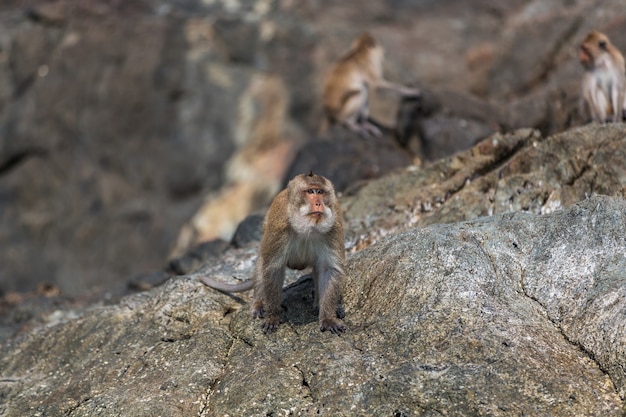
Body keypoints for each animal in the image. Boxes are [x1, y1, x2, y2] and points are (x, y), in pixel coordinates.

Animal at [200, 171, 346, 334]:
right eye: (310, 191)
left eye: (320, 192)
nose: (319, 203)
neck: (308, 227)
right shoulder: (279, 228)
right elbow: (273, 269)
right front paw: (273, 316)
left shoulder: (334, 228)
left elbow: (328, 270)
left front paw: (327, 318)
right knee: (263, 261)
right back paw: (259, 303)